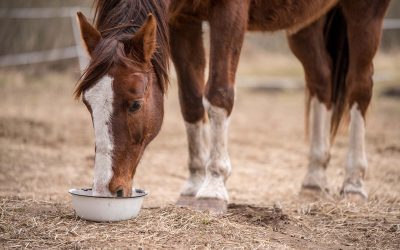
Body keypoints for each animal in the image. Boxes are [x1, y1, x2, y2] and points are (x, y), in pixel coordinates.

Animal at [76, 0, 390, 213]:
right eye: (88, 104)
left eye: (135, 104)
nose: (105, 190)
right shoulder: (182, 21)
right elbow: (191, 101)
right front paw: (193, 184)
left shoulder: (229, 12)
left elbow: (218, 93)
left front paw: (213, 187)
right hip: (306, 25)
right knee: (321, 81)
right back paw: (314, 179)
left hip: (365, 13)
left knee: (360, 87)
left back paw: (354, 183)